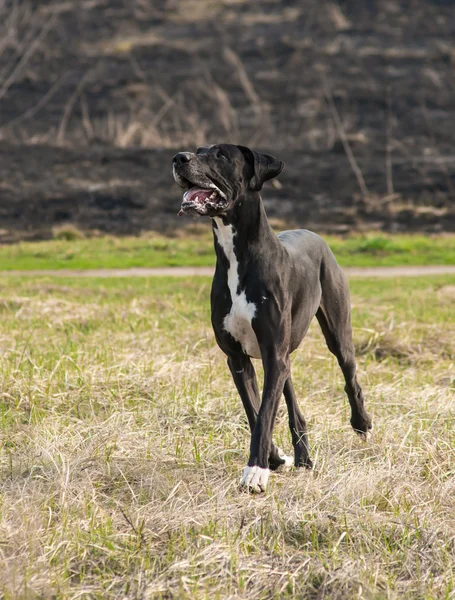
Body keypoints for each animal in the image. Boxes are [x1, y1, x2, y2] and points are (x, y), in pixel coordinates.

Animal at [173, 144, 372, 492]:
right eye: (198, 150)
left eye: (221, 154)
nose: (178, 157)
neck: (238, 255)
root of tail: (313, 233)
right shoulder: (238, 359)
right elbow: (254, 410)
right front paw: (274, 458)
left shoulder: (272, 352)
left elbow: (265, 412)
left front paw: (256, 470)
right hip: (283, 352)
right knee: (290, 397)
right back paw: (303, 457)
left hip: (336, 333)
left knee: (350, 377)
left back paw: (361, 424)